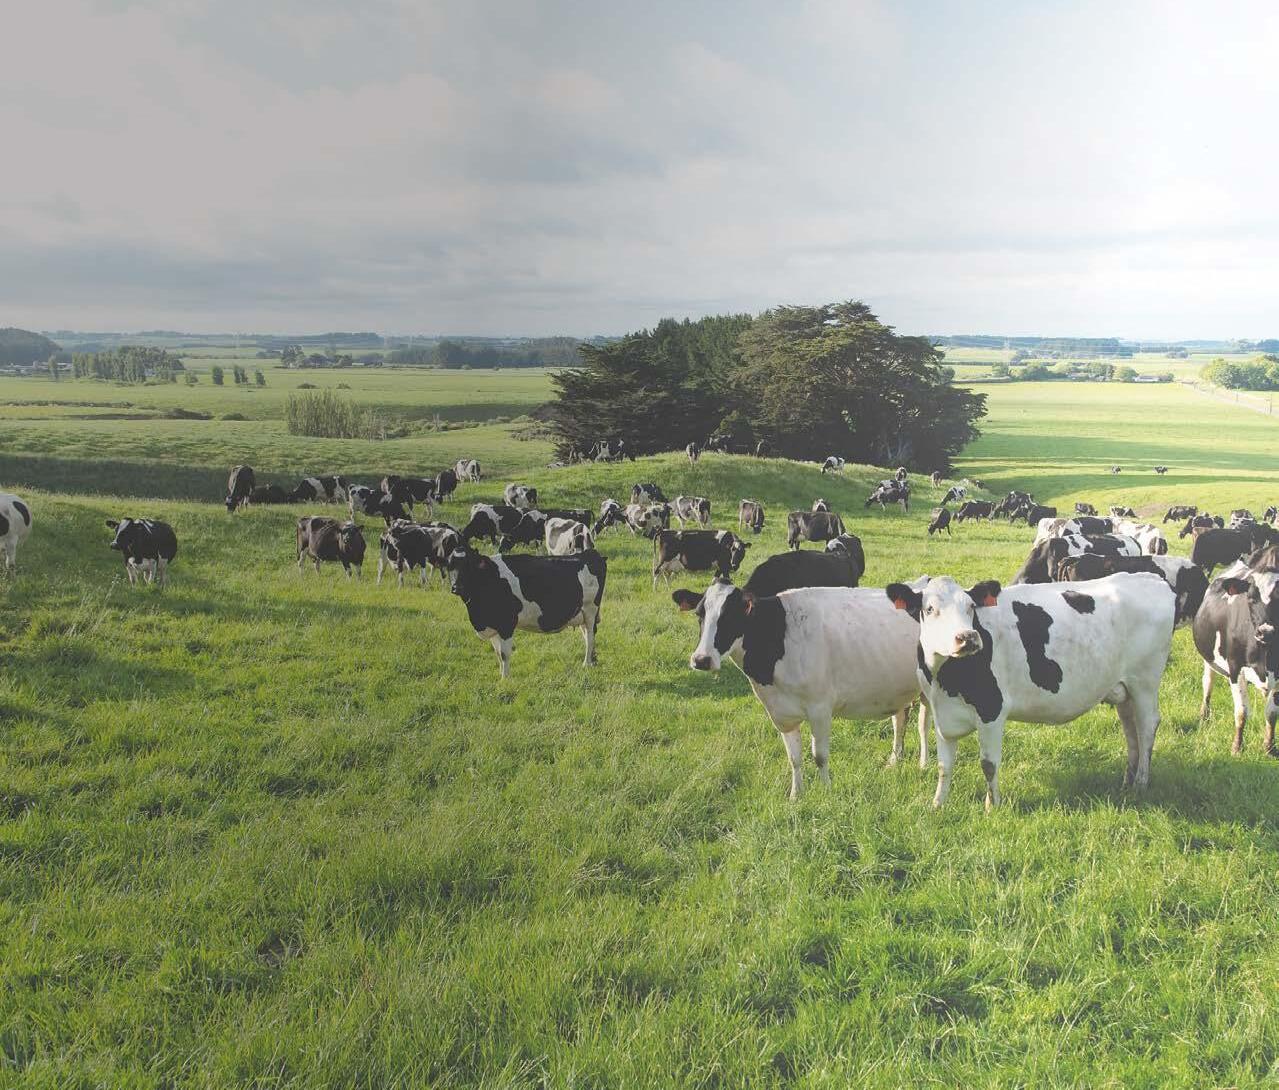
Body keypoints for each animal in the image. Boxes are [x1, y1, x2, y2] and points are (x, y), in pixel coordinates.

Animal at [446, 546, 606, 678]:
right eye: (450, 566)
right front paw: (500, 675)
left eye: (469, 565)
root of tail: (590, 553)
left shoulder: (506, 624)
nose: (456, 587)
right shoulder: (493, 626)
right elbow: (497, 653)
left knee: (590, 636)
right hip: (581, 614)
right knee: (586, 636)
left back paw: (586, 664)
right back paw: (592, 661)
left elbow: (504, 654)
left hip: (590, 609)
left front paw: (505, 679)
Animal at [674, 581, 929, 791]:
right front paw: (796, 795)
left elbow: (820, 755)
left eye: (731, 615)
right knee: (901, 719)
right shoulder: (780, 713)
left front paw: (826, 792)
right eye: (699, 614)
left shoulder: (820, 708)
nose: (701, 659)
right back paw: (895, 761)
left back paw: (924, 764)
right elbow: (794, 758)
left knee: (923, 725)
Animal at [887, 573, 1176, 807]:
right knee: (1131, 730)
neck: (943, 679)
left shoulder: (992, 710)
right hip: (1124, 689)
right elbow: (944, 765)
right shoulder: (941, 713)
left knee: (1147, 727)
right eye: (930, 609)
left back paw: (1140, 784)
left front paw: (993, 806)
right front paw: (938, 804)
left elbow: (988, 764)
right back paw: (1128, 781)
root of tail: (1150, 578)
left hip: (1145, 682)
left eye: (970, 607)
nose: (968, 638)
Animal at [1194, 559, 1279, 754]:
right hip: (1208, 659)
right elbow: (1241, 712)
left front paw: (1269, 747)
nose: (1265, 632)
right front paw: (1236, 747)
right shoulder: (1235, 668)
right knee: (1207, 683)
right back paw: (1204, 715)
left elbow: (1272, 714)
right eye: (1250, 598)